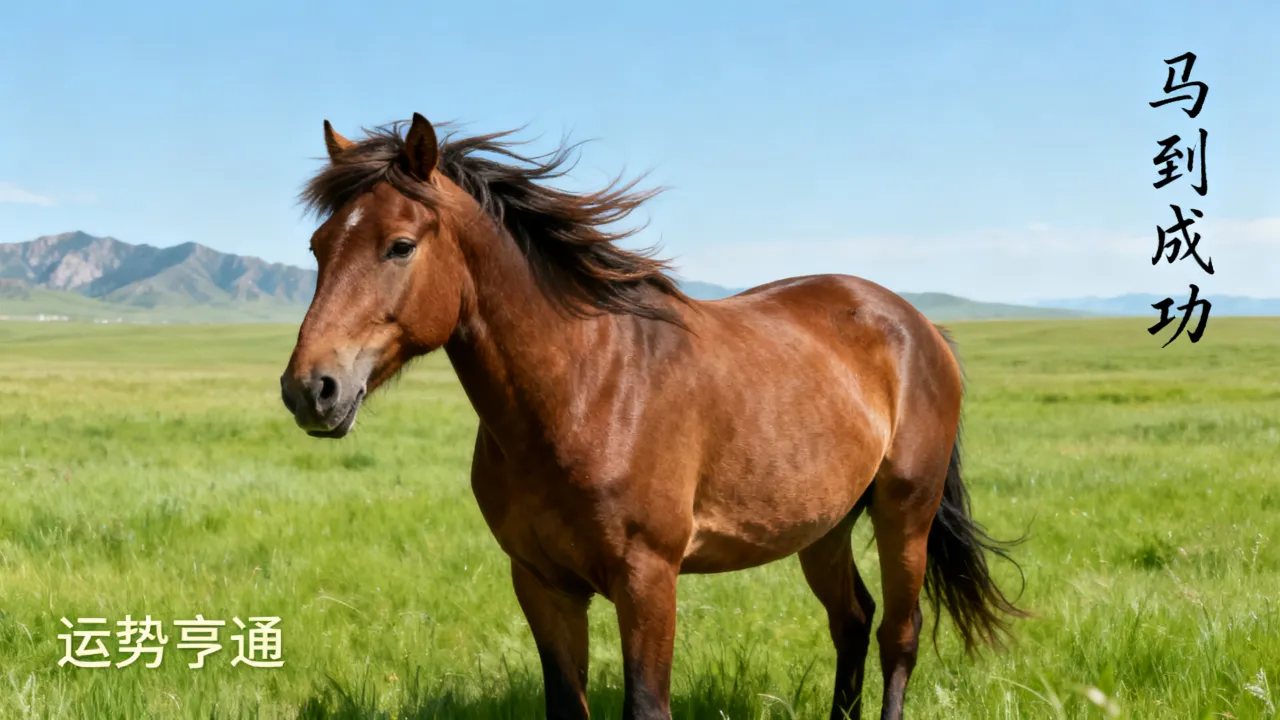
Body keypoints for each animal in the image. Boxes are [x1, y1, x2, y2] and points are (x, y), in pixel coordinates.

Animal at [279, 113, 1026, 720]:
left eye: (400, 245)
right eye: (318, 247)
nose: (310, 389)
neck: (585, 391)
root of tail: (917, 325)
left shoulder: (647, 580)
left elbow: (646, 705)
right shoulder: (542, 583)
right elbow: (566, 705)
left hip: (906, 512)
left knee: (899, 635)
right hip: (825, 525)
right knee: (851, 620)